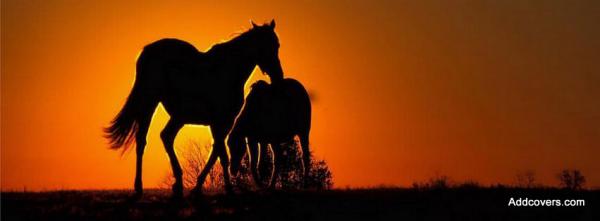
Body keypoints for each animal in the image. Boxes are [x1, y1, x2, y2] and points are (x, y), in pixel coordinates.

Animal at [105, 19, 284, 198]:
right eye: (265, 46)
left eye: (277, 45)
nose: (278, 76)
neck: (228, 71)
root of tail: (147, 51)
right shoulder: (221, 121)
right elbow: (222, 154)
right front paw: (228, 188)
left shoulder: (222, 123)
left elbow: (216, 152)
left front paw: (198, 186)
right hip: (151, 103)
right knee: (143, 140)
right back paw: (139, 187)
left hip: (178, 116)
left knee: (166, 136)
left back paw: (177, 183)